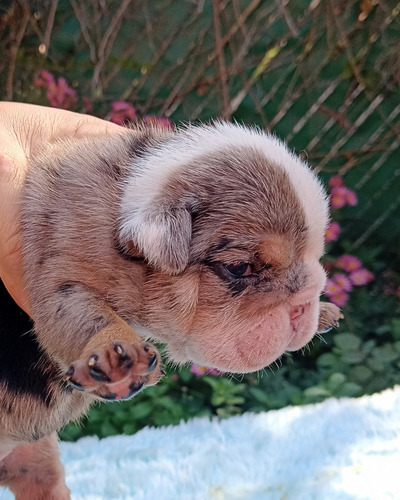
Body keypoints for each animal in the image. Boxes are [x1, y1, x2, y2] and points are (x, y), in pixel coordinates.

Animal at [0, 122, 340, 500]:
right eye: (238, 268)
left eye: (316, 256)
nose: (305, 304)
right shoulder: (58, 276)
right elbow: (86, 316)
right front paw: (117, 354)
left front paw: (324, 312)